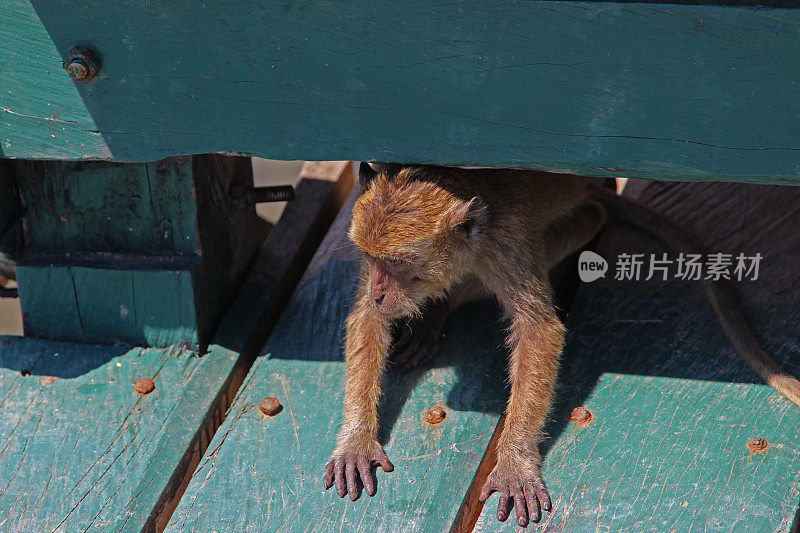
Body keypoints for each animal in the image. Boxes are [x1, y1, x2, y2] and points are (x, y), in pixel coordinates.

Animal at [322, 163, 796, 528]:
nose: (382, 290)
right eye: (374, 258)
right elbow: (366, 317)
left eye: (398, 263)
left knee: (591, 217)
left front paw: (514, 461)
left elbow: (539, 330)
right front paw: (356, 439)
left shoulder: (505, 247)